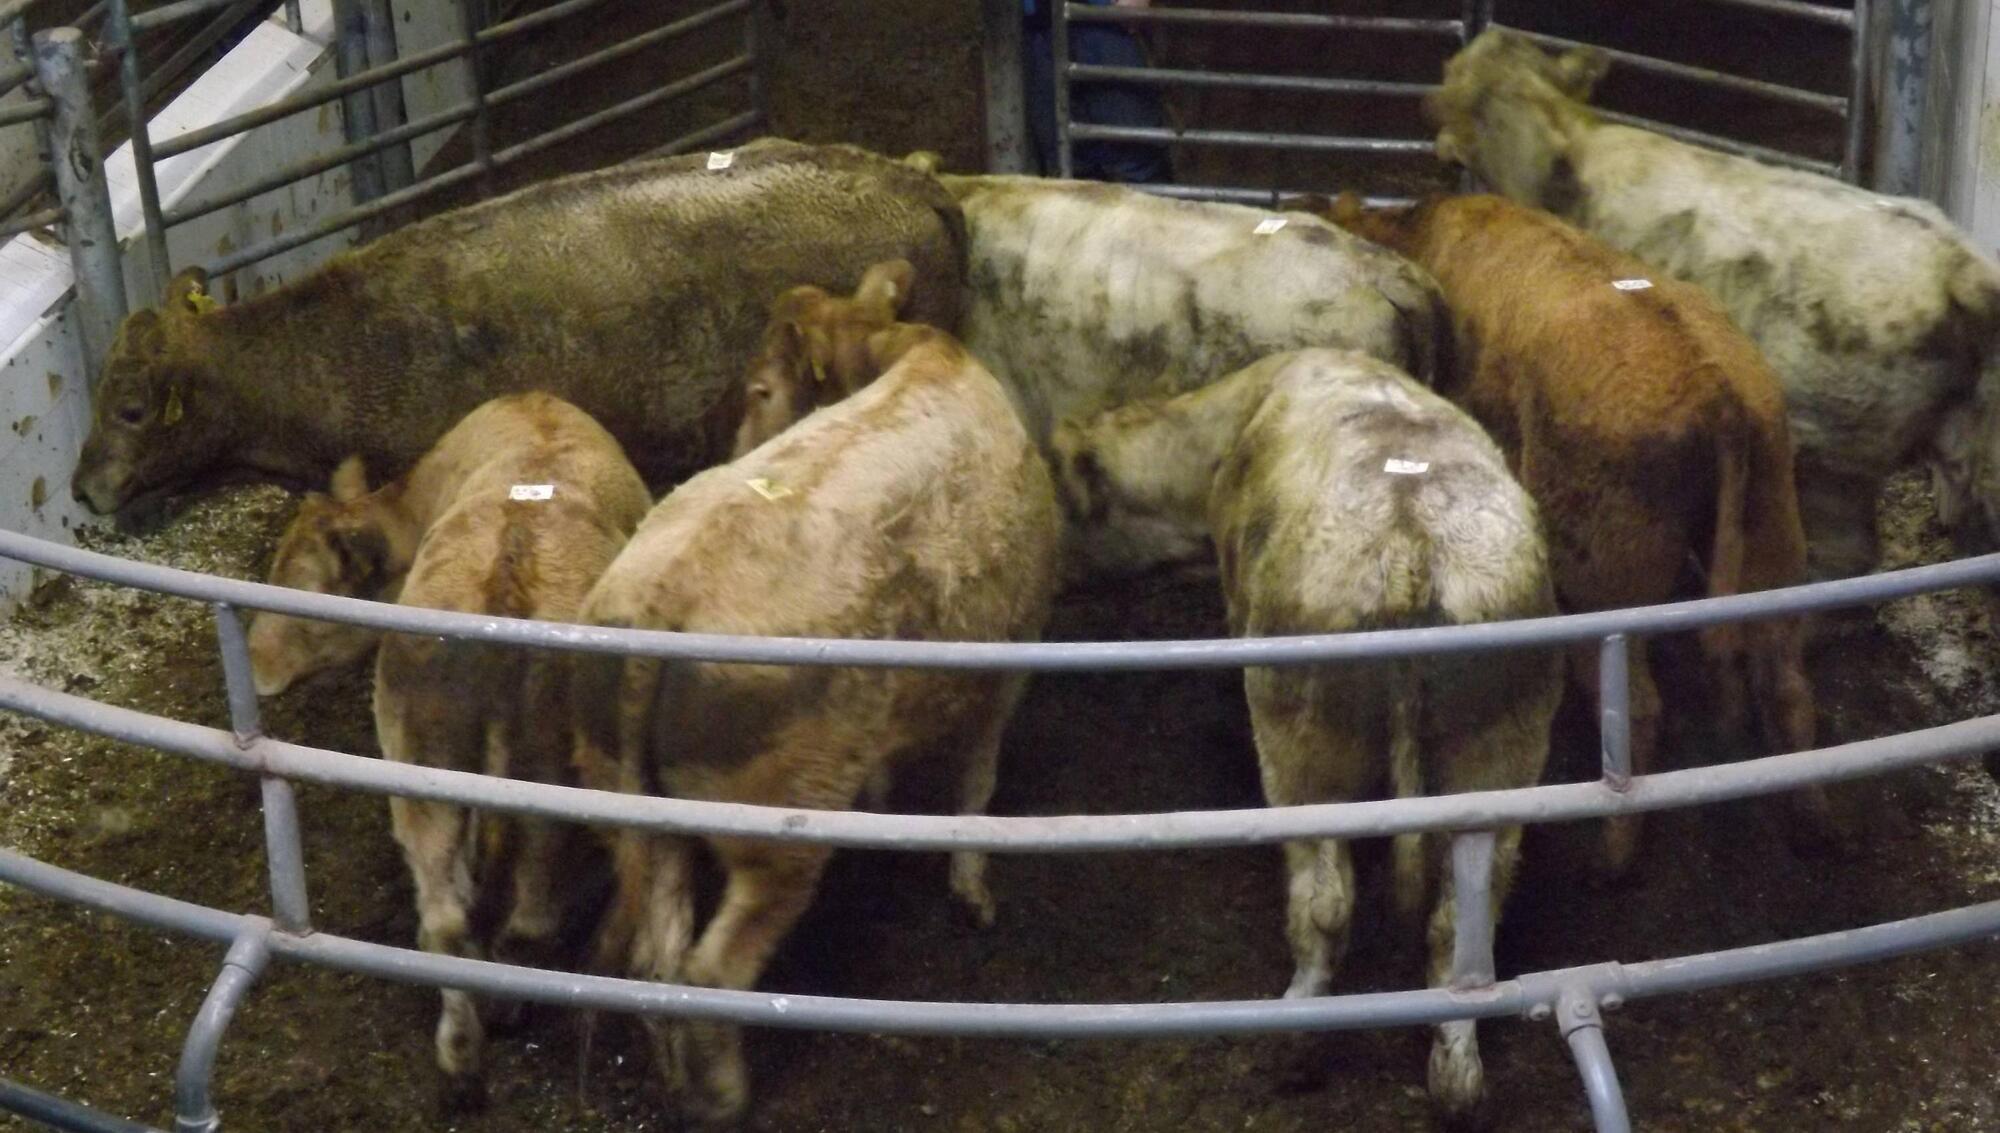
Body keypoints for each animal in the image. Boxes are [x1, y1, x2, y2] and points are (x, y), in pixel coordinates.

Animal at [245, 392, 651, 1106]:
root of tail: (507, 580)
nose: (254, 658)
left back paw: (463, 1050)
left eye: (305, 592)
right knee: (512, 916)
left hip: (425, 768)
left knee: (458, 916)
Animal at [573, 312, 1062, 1126]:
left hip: (623, 790)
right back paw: (723, 1099)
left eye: (764, 390)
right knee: (711, 967)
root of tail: (666, 597)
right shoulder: (1014, 649)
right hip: (778, 806)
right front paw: (975, 899)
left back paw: (678, 1080)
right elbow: (979, 775)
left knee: (656, 956)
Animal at [1050, 349, 1562, 1123]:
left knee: (1325, 901)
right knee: (1462, 914)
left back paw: (1297, 1043)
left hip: (1303, 746)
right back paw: (1456, 1077)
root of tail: (1410, 542)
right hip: (1501, 750)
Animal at [1315, 191, 1828, 877]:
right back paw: (1811, 827)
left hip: (1601, 579)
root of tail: (1717, 390)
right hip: (1773, 536)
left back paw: (1609, 859)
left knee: (1637, 708)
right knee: (1787, 686)